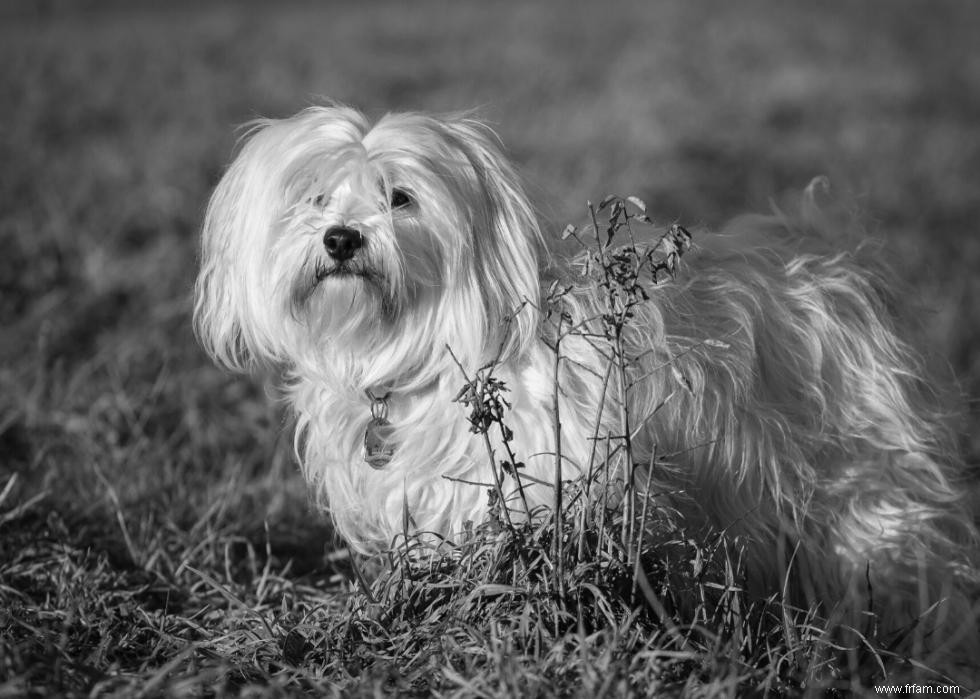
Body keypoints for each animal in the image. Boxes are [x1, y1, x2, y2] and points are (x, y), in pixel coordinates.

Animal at [193, 104, 980, 680]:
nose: (341, 238)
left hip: (865, 490)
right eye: (315, 196)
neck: (427, 354)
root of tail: (838, 262)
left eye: (401, 197)